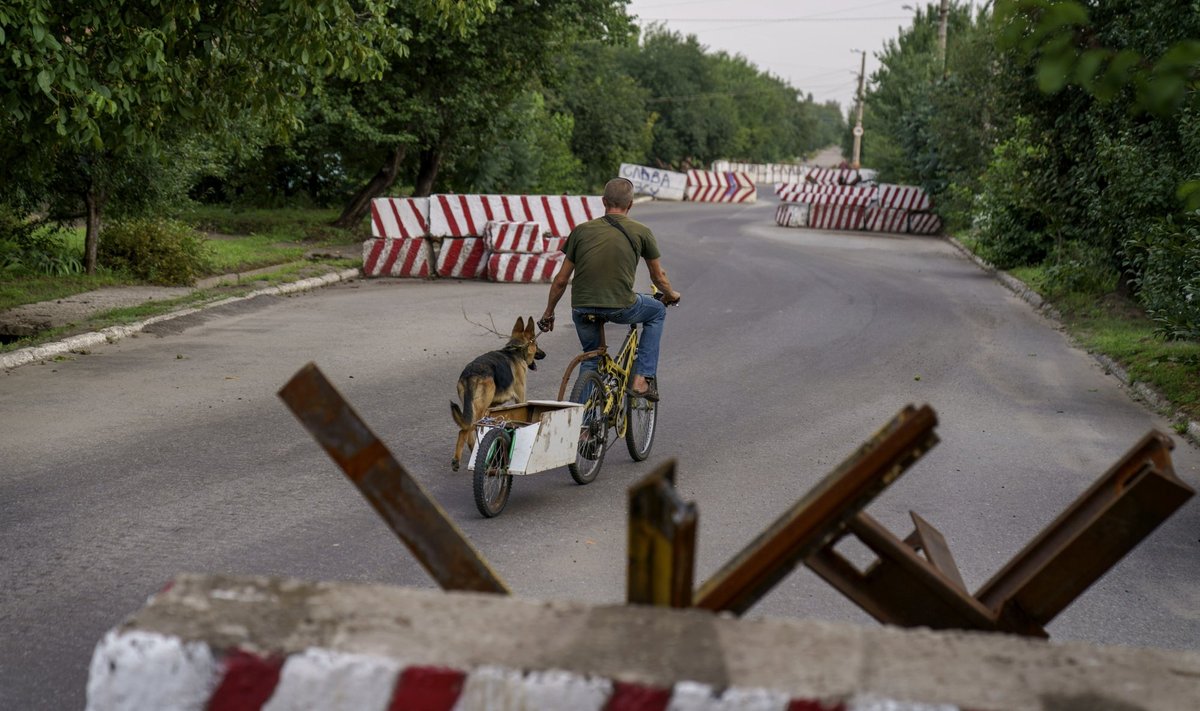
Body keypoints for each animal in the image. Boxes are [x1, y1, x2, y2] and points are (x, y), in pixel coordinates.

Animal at [451, 317, 544, 473]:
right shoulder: (520, 398)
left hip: (473, 408)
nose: (544, 354)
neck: (516, 351)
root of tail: (471, 373)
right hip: (480, 409)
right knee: (464, 430)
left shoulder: (492, 407)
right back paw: (456, 461)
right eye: (536, 344)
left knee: (469, 430)